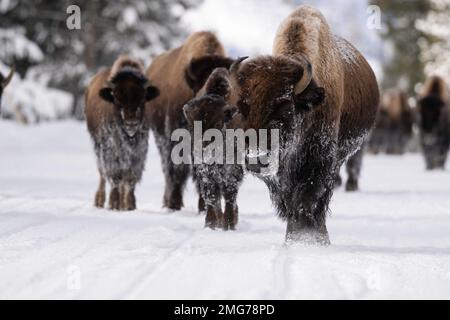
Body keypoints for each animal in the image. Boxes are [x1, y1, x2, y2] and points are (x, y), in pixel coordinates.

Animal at [84, 56, 160, 211]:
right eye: (117, 99)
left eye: (142, 99)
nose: (131, 124)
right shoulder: (111, 152)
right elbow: (115, 177)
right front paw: (114, 204)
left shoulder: (138, 153)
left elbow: (130, 178)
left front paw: (130, 205)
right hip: (97, 147)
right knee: (102, 174)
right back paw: (100, 200)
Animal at [200, 5, 380, 245]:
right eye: (241, 107)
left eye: (285, 109)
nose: (255, 160)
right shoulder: (281, 174)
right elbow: (289, 199)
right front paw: (295, 236)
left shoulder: (320, 160)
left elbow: (306, 197)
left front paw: (305, 237)